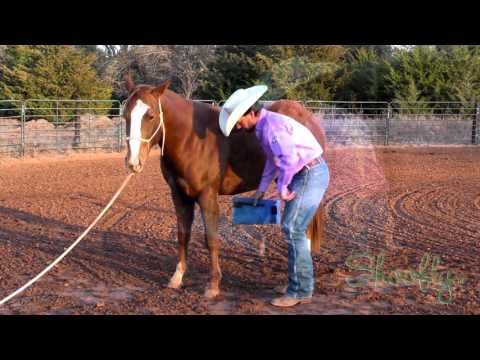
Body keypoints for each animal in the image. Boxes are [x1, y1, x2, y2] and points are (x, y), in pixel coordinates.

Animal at [122, 76, 328, 298]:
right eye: (125, 115)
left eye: (150, 116)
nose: (132, 162)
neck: (190, 139)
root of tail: (307, 117)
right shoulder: (179, 195)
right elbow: (183, 235)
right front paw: (177, 278)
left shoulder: (207, 196)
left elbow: (211, 239)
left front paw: (213, 285)